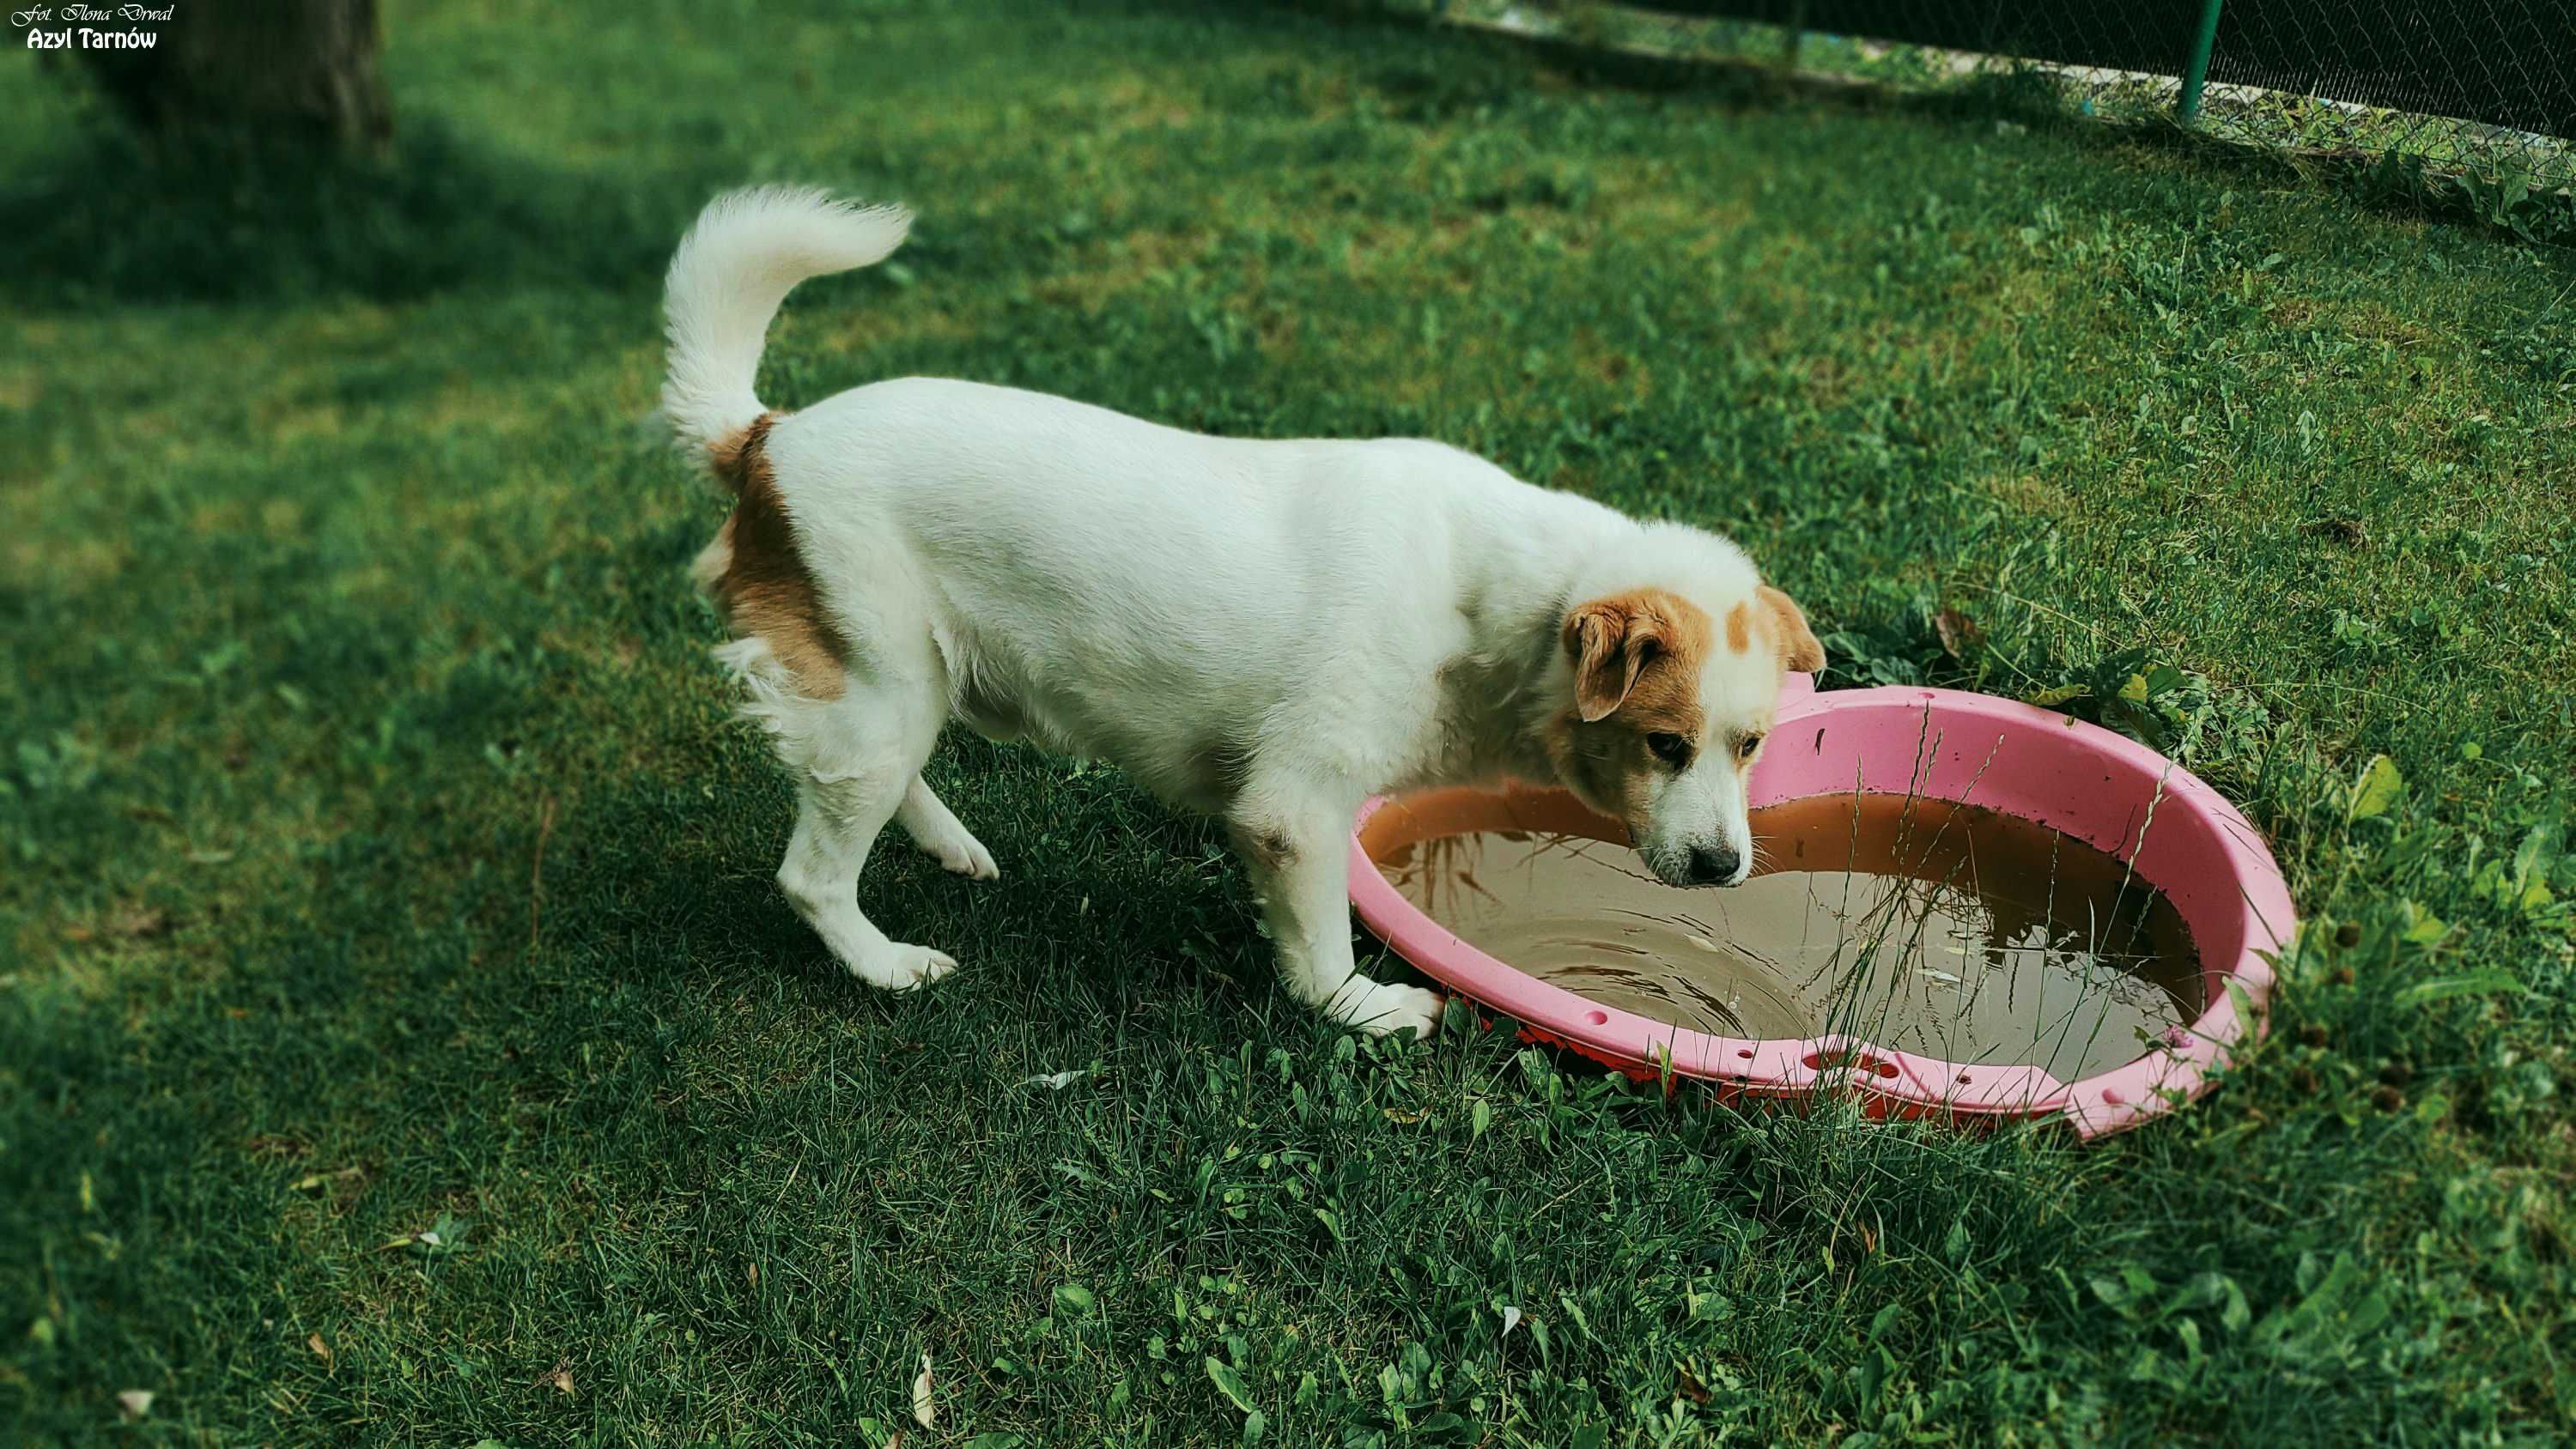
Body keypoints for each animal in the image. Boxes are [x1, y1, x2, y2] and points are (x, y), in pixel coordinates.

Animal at [665, 186, 1834, 1040]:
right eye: (1664, 743)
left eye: (1751, 746)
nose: (1724, 868)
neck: (1499, 598)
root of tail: (767, 435)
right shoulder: (1294, 814)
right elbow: (1319, 958)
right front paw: (1370, 1013)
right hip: (883, 685)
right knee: (813, 874)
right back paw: (889, 966)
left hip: (906, 688)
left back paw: (955, 850)